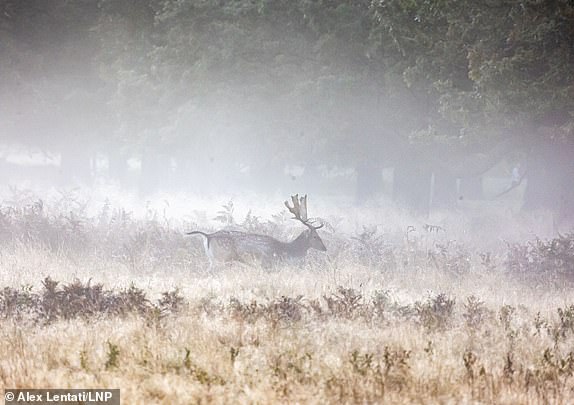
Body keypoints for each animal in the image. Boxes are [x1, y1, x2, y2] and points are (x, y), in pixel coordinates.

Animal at [187, 193, 326, 266]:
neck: (286, 251)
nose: (325, 248)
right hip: (221, 258)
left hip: (212, 259)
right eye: (315, 236)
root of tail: (208, 236)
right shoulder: (268, 263)